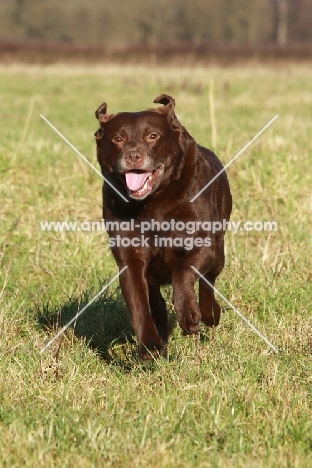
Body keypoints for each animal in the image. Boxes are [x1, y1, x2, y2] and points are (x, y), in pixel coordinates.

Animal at [94, 94, 232, 358]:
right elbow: (140, 306)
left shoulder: (202, 245)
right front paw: (150, 348)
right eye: (118, 138)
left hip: (218, 255)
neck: (152, 203)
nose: (133, 155)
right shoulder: (130, 260)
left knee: (208, 281)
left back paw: (209, 313)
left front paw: (188, 314)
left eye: (153, 135)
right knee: (156, 300)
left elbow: (183, 270)